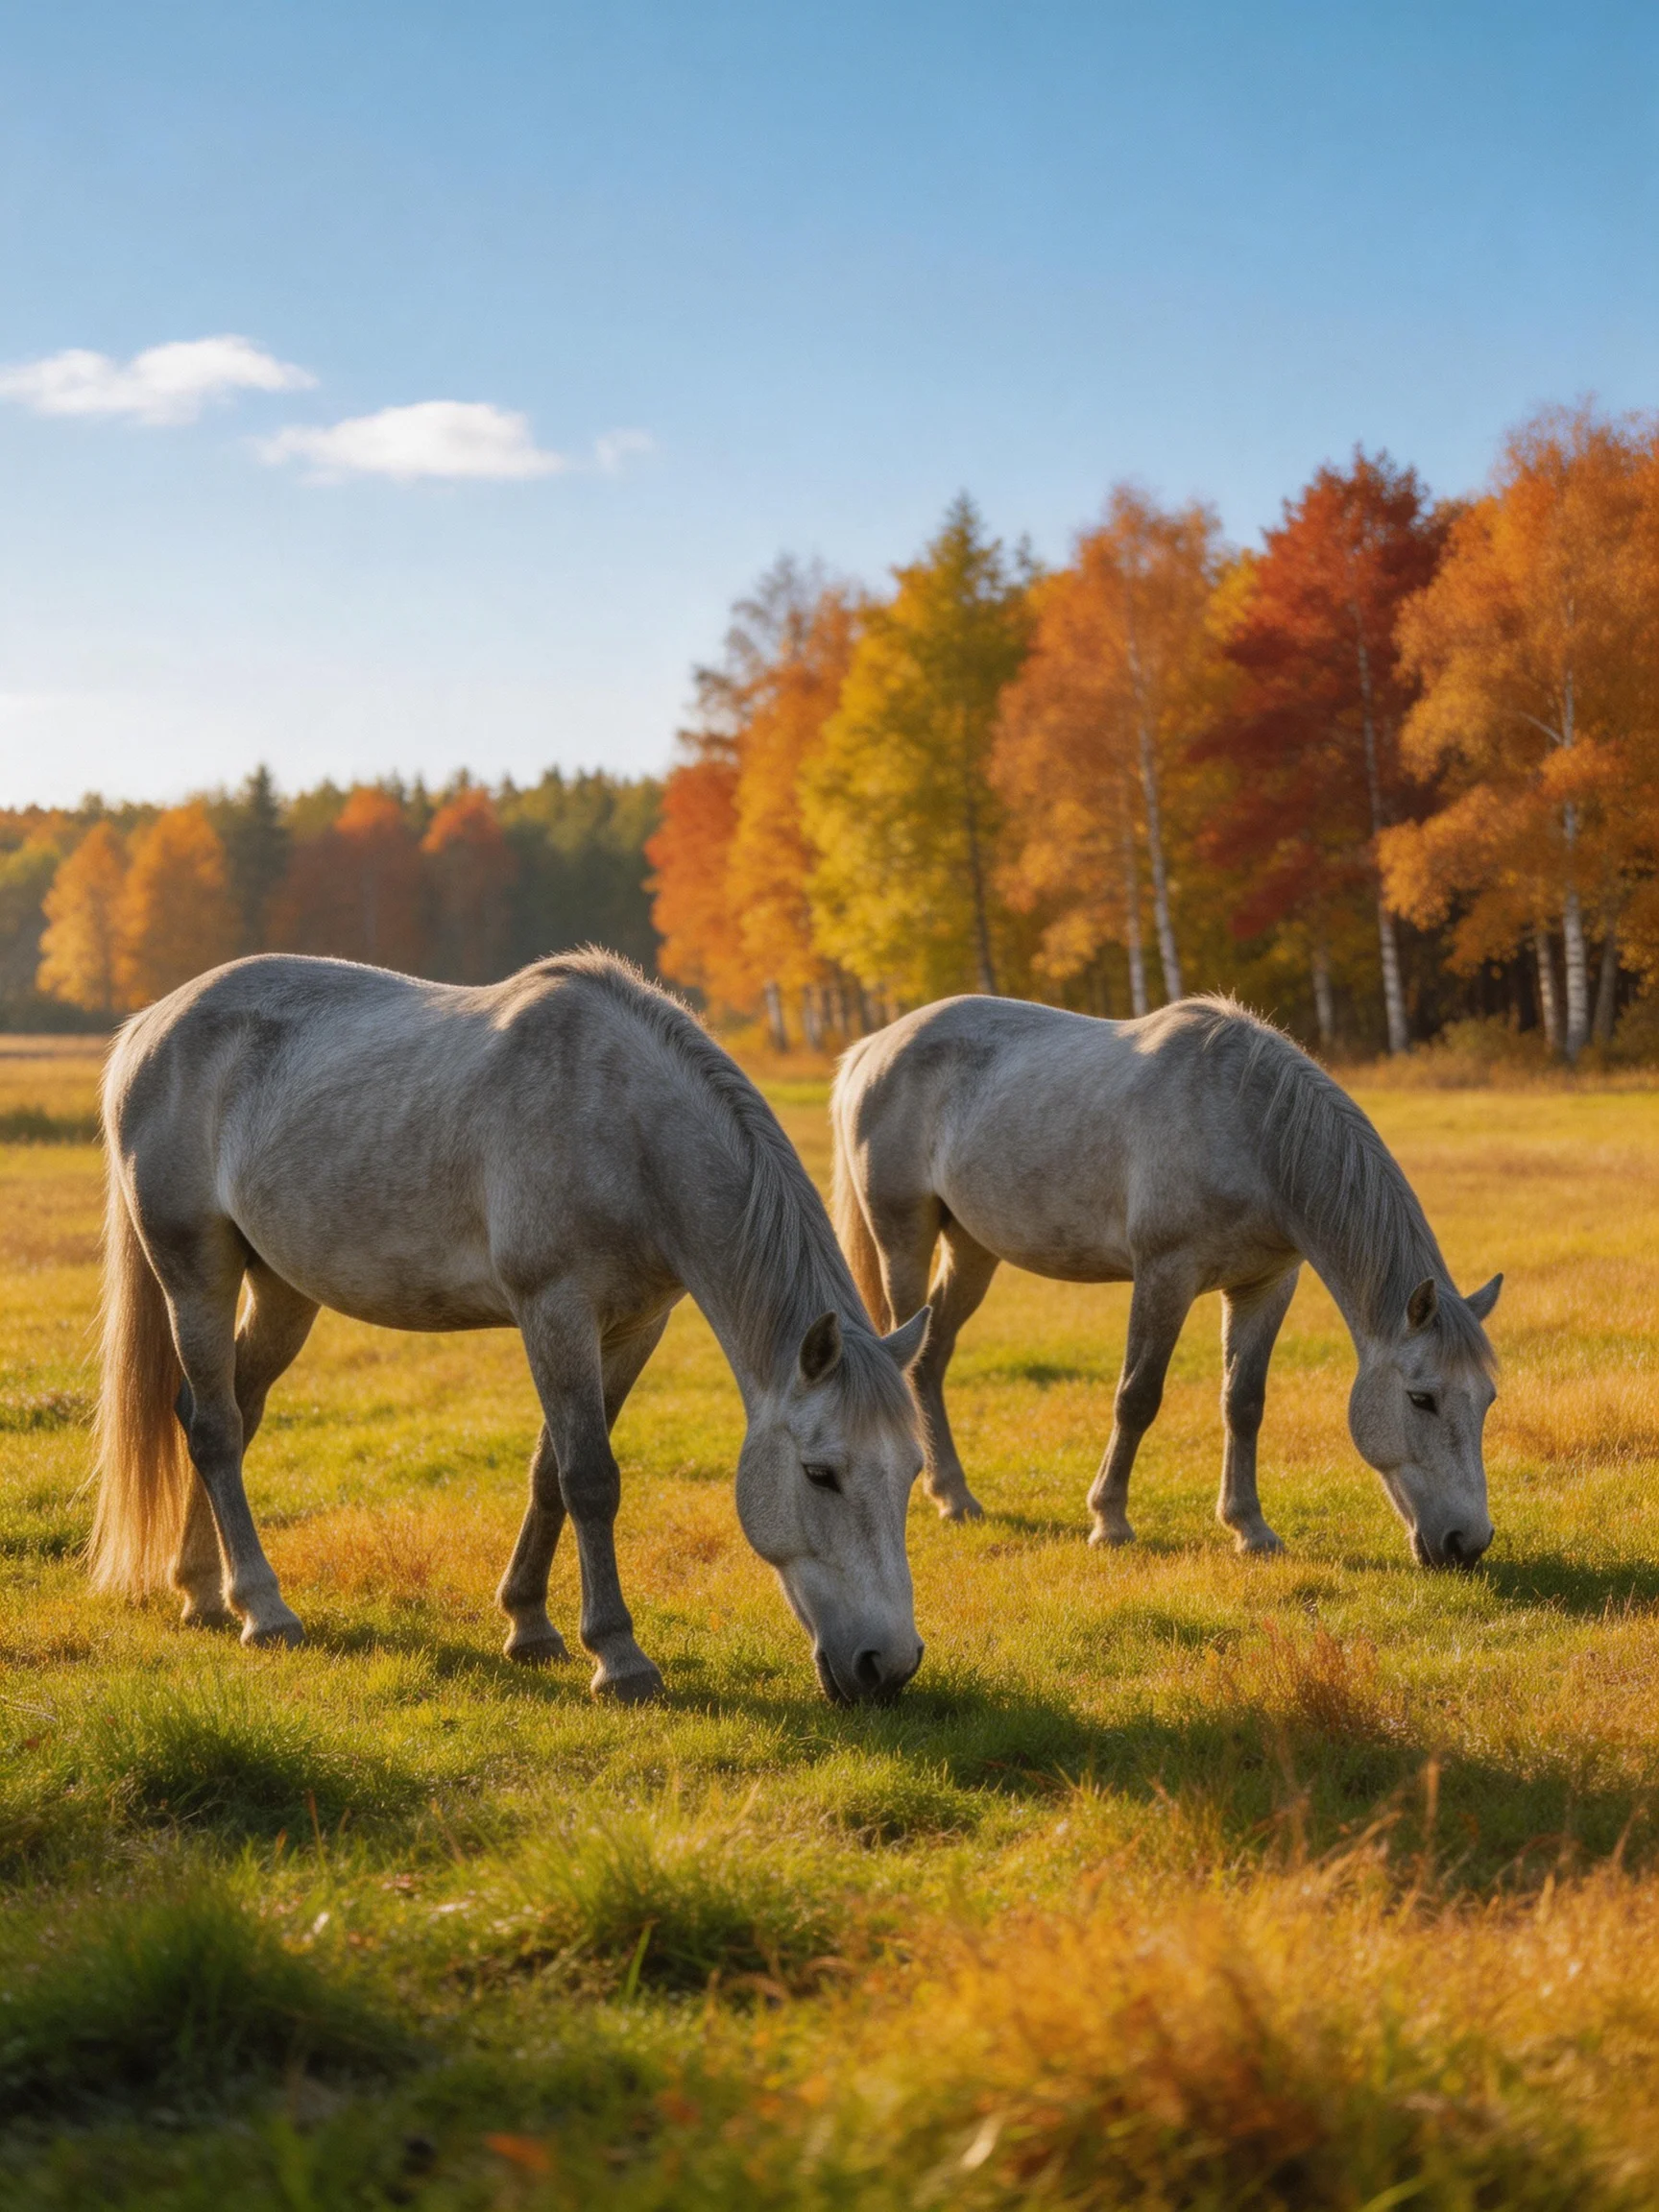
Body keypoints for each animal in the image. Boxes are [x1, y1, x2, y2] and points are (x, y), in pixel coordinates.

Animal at [92, 949, 929, 1704]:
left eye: (912, 1471)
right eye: (819, 1474)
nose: (887, 1665)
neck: (626, 1127)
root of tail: (148, 1029)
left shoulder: (634, 1329)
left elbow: (548, 1475)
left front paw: (529, 1626)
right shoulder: (554, 1311)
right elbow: (589, 1478)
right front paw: (619, 1658)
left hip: (282, 1292)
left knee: (225, 1412)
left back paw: (204, 1590)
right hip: (195, 1272)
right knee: (216, 1430)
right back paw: (264, 1611)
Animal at [830, 993, 1502, 1568]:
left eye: (1488, 1399)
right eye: (1421, 1398)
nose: (1466, 1543)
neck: (1250, 1128)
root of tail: (871, 1048)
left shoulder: (1266, 1286)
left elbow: (1244, 1402)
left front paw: (1250, 1528)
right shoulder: (1163, 1276)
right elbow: (1137, 1397)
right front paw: (1109, 1521)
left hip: (973, 1250)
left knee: (937, 1353)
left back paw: (956, 1494)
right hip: (904, 1239)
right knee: (917, 1358)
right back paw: (949, 1497)